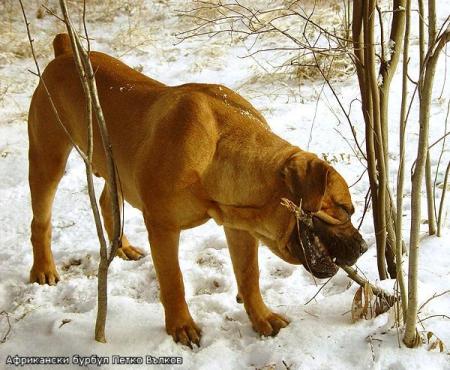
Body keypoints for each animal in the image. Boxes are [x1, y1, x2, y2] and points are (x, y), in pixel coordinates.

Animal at [27, 34, 366, 346]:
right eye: (344, 208)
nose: (364, 247)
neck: (218, 155)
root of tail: (63, 53)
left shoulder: (240, 227)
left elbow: (249, 275)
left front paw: (261, 317)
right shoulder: (163, 228)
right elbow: (173, 280)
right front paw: (181, 326)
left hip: (114, 167)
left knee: (106, 199)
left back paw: (121, 246)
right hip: (47, 159)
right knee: (40, 220)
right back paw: (44, 268)